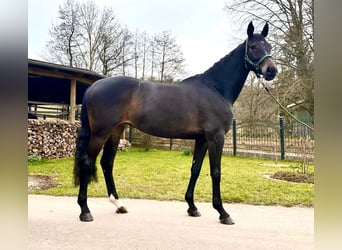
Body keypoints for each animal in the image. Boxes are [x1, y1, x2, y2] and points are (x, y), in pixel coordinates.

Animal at [73, 21, 278, 225]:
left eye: (269, 47)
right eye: (253, 46)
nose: (272, 71)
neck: (216, 89)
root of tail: (93, 86)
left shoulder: (202, 139)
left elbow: (195, 169)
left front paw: (192, 207)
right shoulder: (215, 138)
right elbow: (216, 172)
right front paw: (223, 213)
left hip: (116, 131)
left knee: (107, 163)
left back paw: (119, 204)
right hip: (100, 133)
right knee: (87, 162)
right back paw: (85, 211)